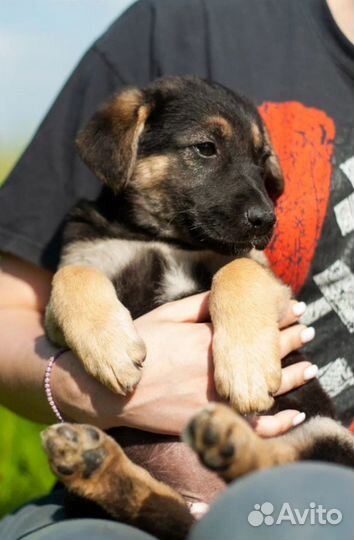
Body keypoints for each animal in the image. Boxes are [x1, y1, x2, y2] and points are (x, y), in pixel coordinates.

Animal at [42, 76, 354, 540]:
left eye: (261, 159)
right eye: (206, 148)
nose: (267, 220)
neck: (167, 237)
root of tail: (204, 506)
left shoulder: (269, 279)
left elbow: (238, 270)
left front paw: (245, 369)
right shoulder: (78, 271)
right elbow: (73, 276)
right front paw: (109, 348)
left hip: (324, 430)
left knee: (282, 471)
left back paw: (227, 441)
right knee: (159, 506)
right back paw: (90, 463)